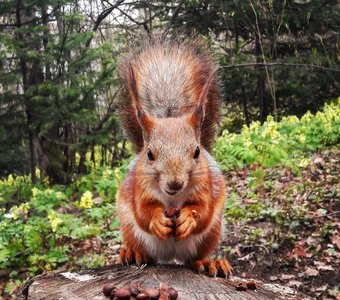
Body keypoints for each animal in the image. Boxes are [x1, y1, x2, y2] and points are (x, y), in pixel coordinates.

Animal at [116, 38, 231, 278]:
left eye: (196, 152)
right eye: (149, 154)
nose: (175, 183)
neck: (172, 198)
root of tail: (170, 257)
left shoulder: (206, 185)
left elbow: (202, 210)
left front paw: (189, 218)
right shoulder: (139, 188)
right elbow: (143, 211)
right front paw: (156, 220)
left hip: (212, 234)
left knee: (193, 259)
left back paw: (210, 263)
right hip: (129, 227)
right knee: (145, 252)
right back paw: (133, 253)